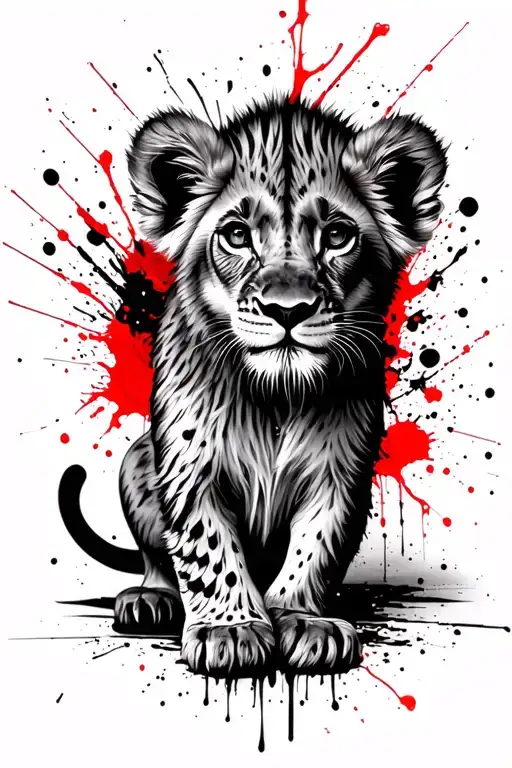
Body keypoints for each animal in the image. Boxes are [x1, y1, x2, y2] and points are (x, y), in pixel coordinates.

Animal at [60, 97, 446, 677]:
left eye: (337, 236)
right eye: (238, 235)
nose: (288, 310)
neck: (276, 397)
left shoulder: (341, 471)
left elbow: (316, 546)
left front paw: (303, 622)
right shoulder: (190, 467)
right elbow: (207, 549)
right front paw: (231, 630)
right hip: (136, 459)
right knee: (157, 560)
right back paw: (150, 600)